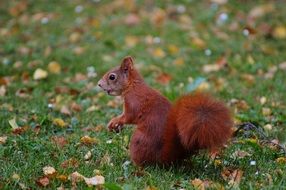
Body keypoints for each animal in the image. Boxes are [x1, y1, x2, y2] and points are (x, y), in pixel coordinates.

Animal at [97, 56, 233, 166]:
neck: (133, 86)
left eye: (112, 77)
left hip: (138, 140)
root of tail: (166, 157)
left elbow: (129, 117)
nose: (99, 84)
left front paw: (115, 121)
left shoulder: (133, 102)